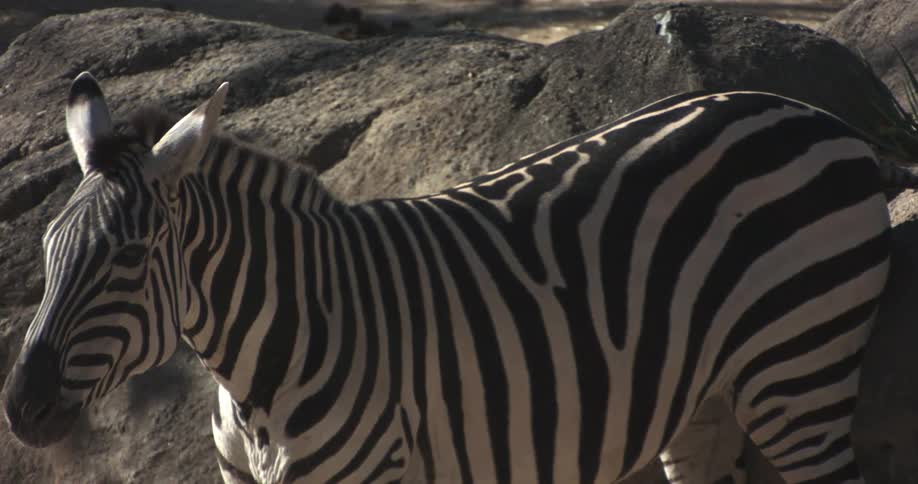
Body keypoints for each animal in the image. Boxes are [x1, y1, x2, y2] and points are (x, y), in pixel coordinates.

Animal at [3, 71, 914, 483]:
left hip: (797, 370)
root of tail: (817, 115)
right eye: (46, 251)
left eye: (127, 259)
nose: (18, 408)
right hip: (707, 400)